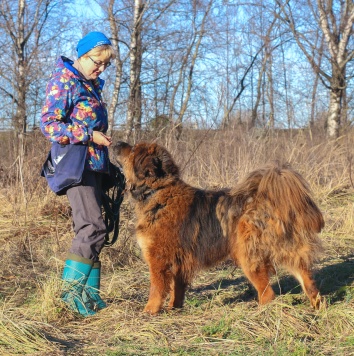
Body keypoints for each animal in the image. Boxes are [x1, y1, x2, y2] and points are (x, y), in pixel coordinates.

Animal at [114, 142, 324, 314]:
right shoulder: (179, 263)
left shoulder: (158, 259)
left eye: (132, 149)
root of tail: (266, 199)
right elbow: (177, 289)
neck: (158, 191)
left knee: (268, 292)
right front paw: (174, 308)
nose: (116, 143)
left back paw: (261, 310)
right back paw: (316, 304)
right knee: (306, 277)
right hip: (284, 249)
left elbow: (156, 289)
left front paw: (149, 311)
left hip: (248, 256)